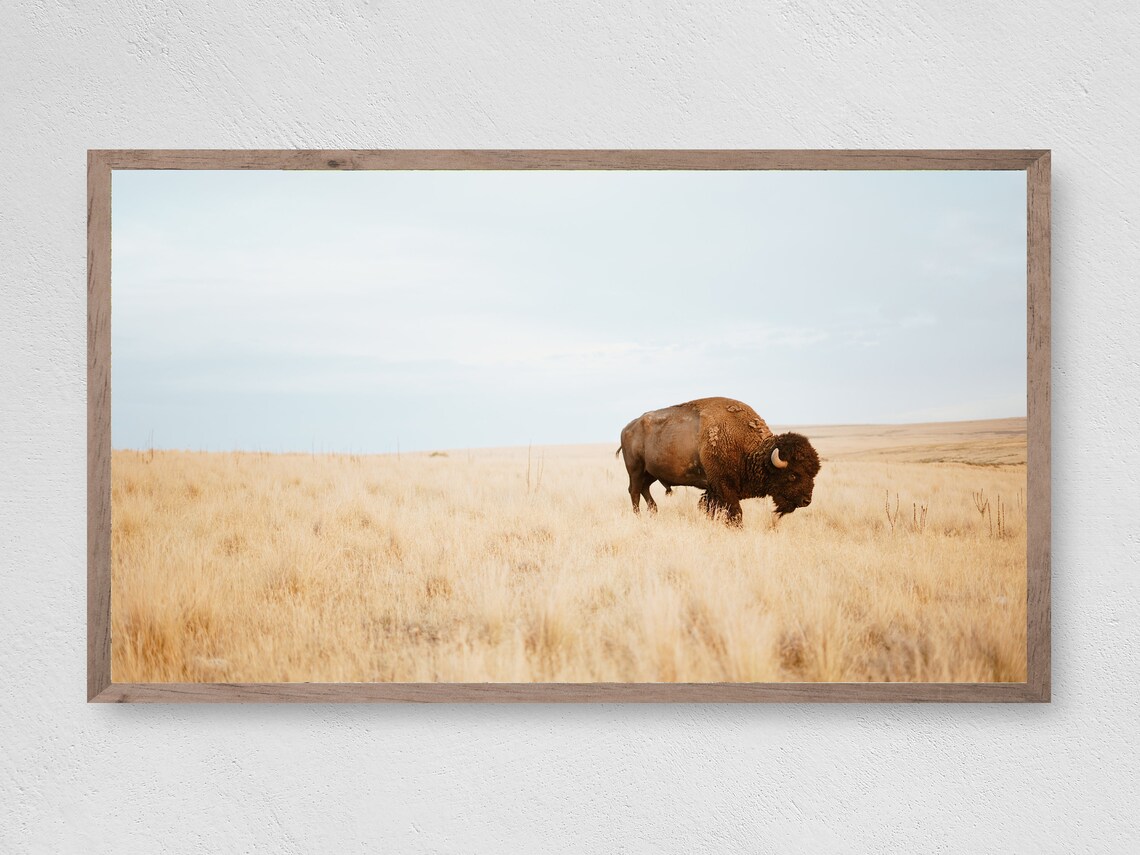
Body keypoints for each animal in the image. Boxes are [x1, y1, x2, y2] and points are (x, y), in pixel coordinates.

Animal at [617, 397, 820, 526]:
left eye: (813, 474)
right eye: (793, 475)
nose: (806, 500)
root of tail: (627, 428)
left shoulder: (714, 490)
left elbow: (711, 509)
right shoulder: (724, 486)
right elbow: (735, 512)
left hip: (650, 473)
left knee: (644, 489)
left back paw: (654, 512)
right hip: (636, 469)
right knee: (634, 491)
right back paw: (638, 516)